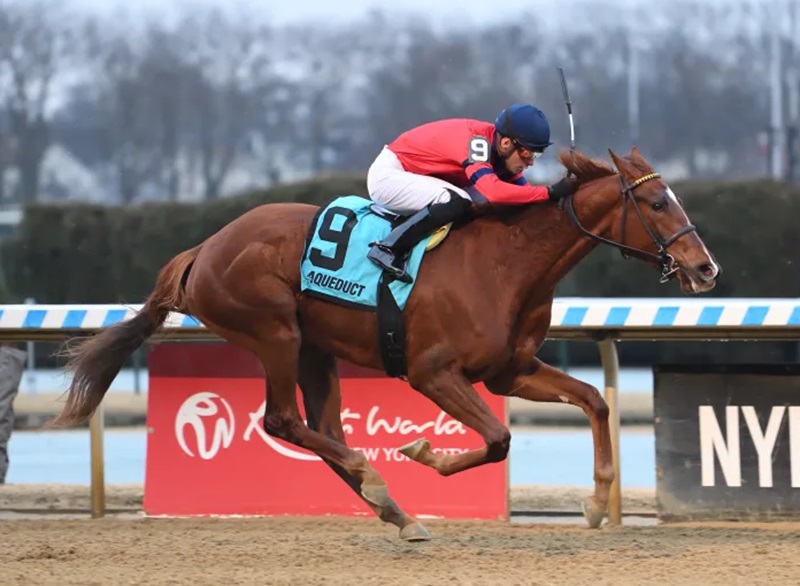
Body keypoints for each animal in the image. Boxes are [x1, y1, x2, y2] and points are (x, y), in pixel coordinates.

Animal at [50, 146, 720, 540]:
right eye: (656, 201)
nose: (706, 269)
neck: (507, 263)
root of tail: (203, 249)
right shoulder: (433, 372)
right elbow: (498, 439)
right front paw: (425, 453)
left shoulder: (510, 369)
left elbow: (595, 401)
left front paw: (596, 501)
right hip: (273, 331)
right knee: (283, 420)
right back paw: (377, 482)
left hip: (315, 349)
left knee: (320, 427)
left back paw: (392, 508)